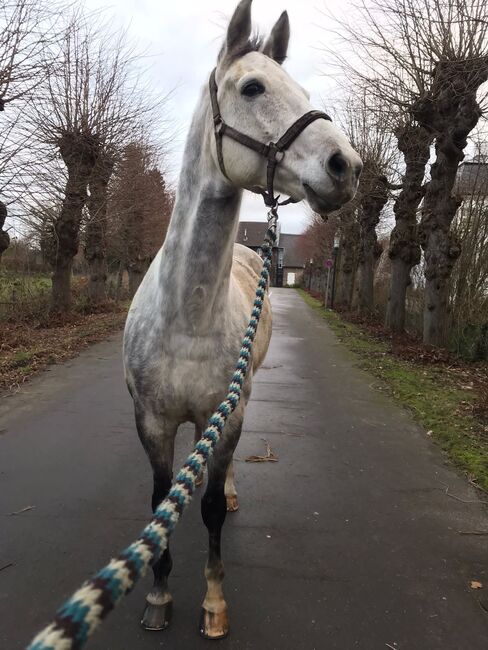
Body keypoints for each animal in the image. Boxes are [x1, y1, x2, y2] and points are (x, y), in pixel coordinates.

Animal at [123, 0, 362, 639]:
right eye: (253, 87)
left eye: (302, 90)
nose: (346, 166)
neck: (187, 315)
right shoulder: (152, 421)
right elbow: (160, 500)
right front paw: (158, 596)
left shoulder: (224, 415)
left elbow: (206, 509)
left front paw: (212, 602)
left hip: (240, 403)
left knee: (221, 476)